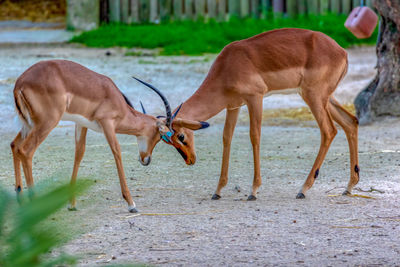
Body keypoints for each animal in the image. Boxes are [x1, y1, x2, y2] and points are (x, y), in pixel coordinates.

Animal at [10, 59, 202, 214]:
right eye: (160, 136)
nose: (146, 160)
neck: (114, 98)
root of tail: (20, 82)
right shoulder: (108, 124)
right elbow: (117, 152)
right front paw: (131, 204)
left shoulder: (82, 124)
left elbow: (79, 154)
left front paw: (72, 204)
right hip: (46, 123)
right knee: (26, 150)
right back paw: (34, 204)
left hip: (29, 125)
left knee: (14, 145)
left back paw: (20, 199)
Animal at [157, 29, 360, 201]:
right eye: (166, 140)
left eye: (181, 136)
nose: (190, 160)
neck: (228, 66)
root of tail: (342, 52)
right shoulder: (233, 106)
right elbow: (226, 138)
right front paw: (218, 191)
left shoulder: (255, 98)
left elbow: (254, 136)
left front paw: (253, 191)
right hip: (324, 97)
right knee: (350, 122)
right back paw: (349, 187)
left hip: (314, 96)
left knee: (329, 130)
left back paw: (303, 189)